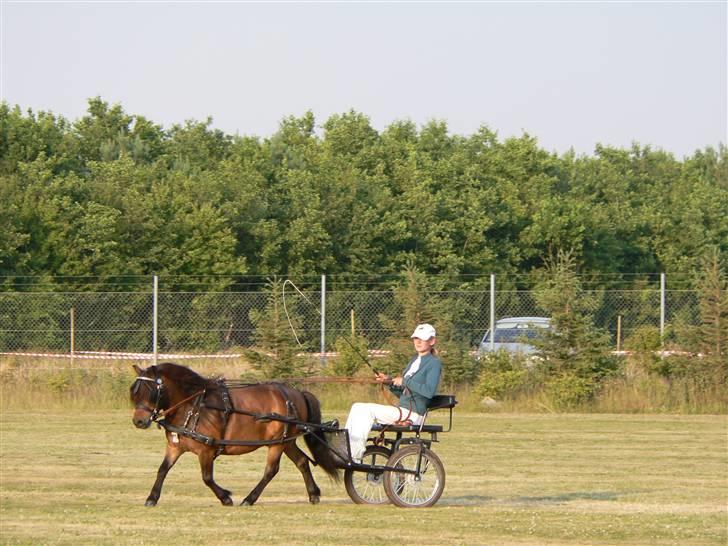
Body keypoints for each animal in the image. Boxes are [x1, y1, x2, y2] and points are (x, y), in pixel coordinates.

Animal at [129, 362, 340, 506]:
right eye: (135, 392)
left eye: (151, 391)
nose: (138, 421)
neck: (194, 406)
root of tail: (296, 393)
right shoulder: (175, 446)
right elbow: (163, 469)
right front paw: (152, 498)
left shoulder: (207, 450)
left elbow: (207, 477)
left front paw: (225, 497)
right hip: (286, 441)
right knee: (302, 462)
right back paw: (313, 494)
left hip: (277, 444)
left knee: (271, 470)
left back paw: (249, 499)